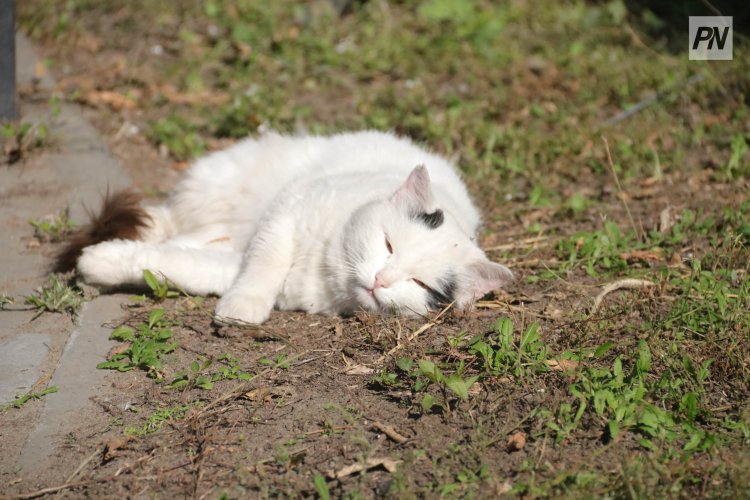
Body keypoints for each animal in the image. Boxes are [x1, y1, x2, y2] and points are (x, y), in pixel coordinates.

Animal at [67, 131, 516, 324]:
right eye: (388, 245)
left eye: (421, 285)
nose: (381, 280)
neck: (325, 274)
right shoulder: (285, 214)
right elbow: (264, 263)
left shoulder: (235, 262)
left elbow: (178, 267)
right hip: (217, 188)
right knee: (167, 223)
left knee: (182, 240)